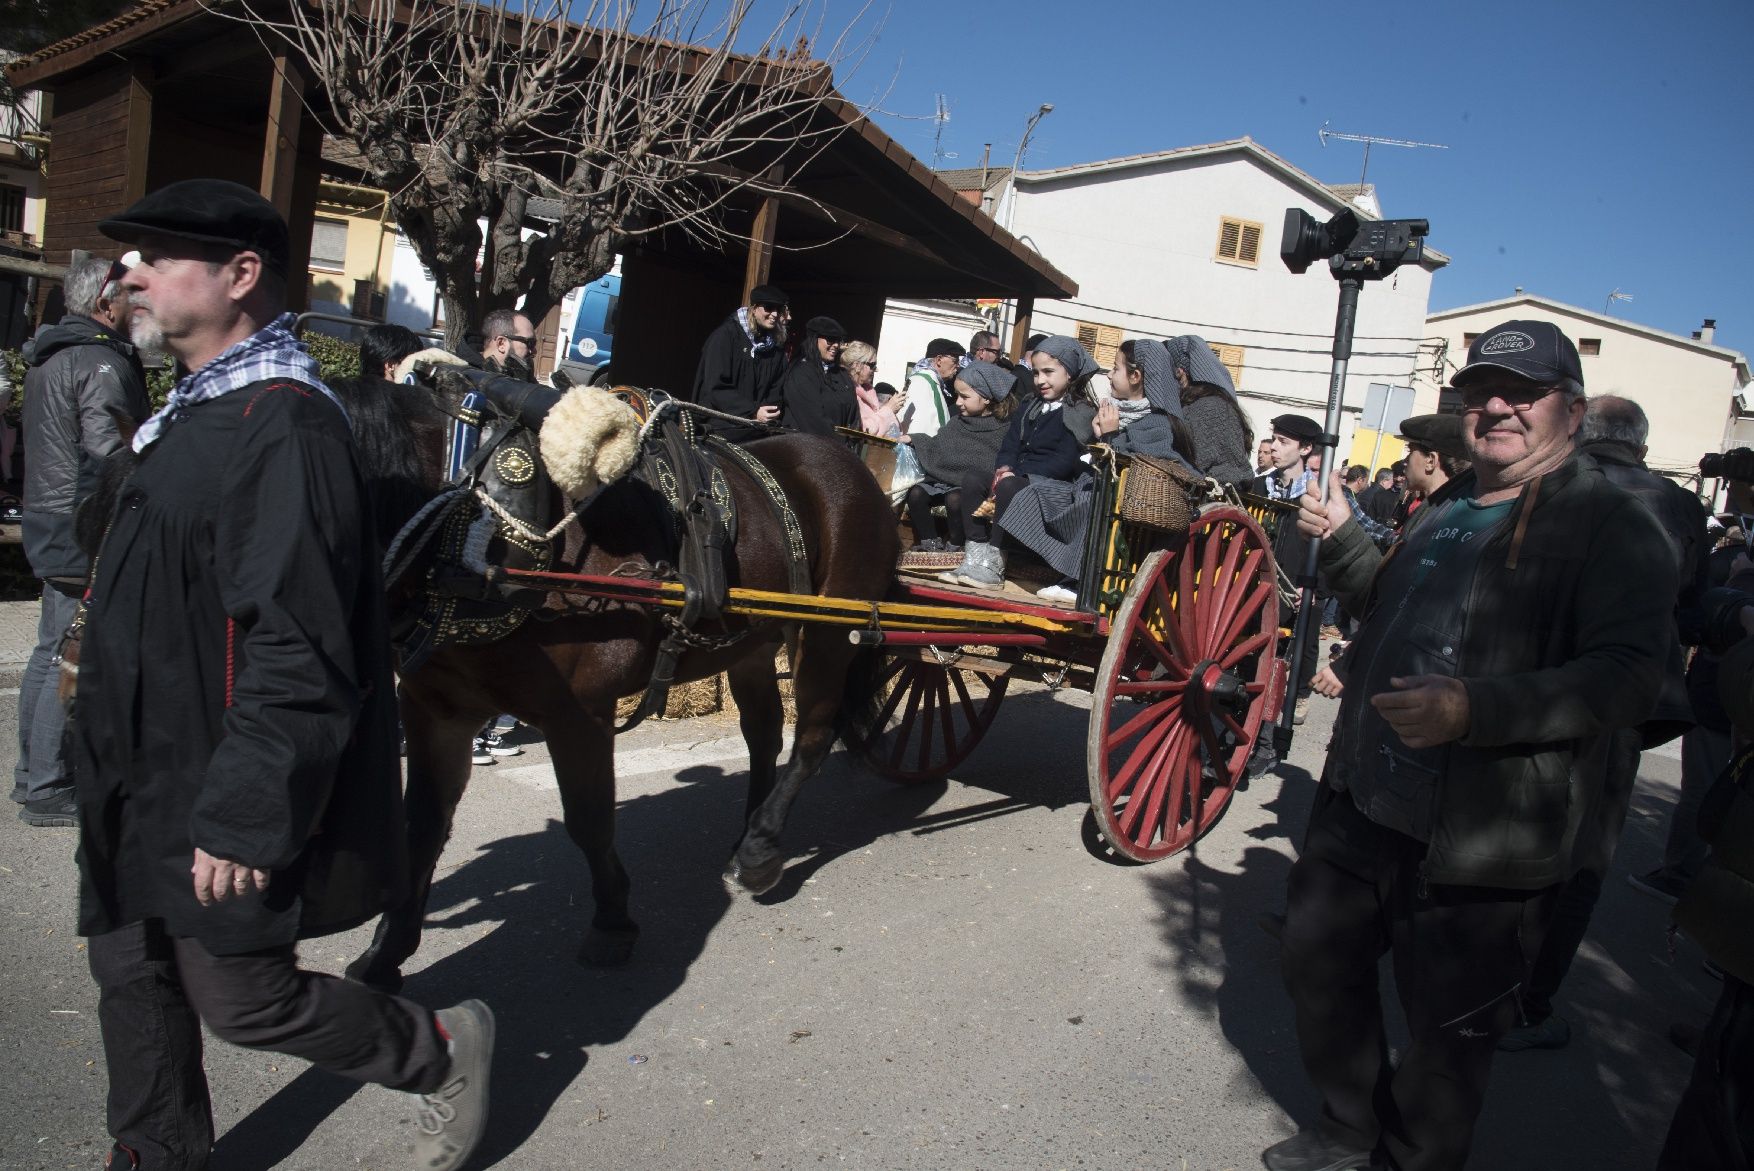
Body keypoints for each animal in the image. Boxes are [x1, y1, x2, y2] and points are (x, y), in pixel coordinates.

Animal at [333, 373, 898, 988]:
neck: (472, 533)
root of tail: (850, 465)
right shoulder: (434, 709)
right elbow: (422, 828)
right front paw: (384, 954)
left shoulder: (577, 713)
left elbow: (589, 820)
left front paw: (612, 922)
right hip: (750, 642)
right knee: (766, 732)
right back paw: (747, 833)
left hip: (826, 637)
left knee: (813, 737)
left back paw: (761, 851)